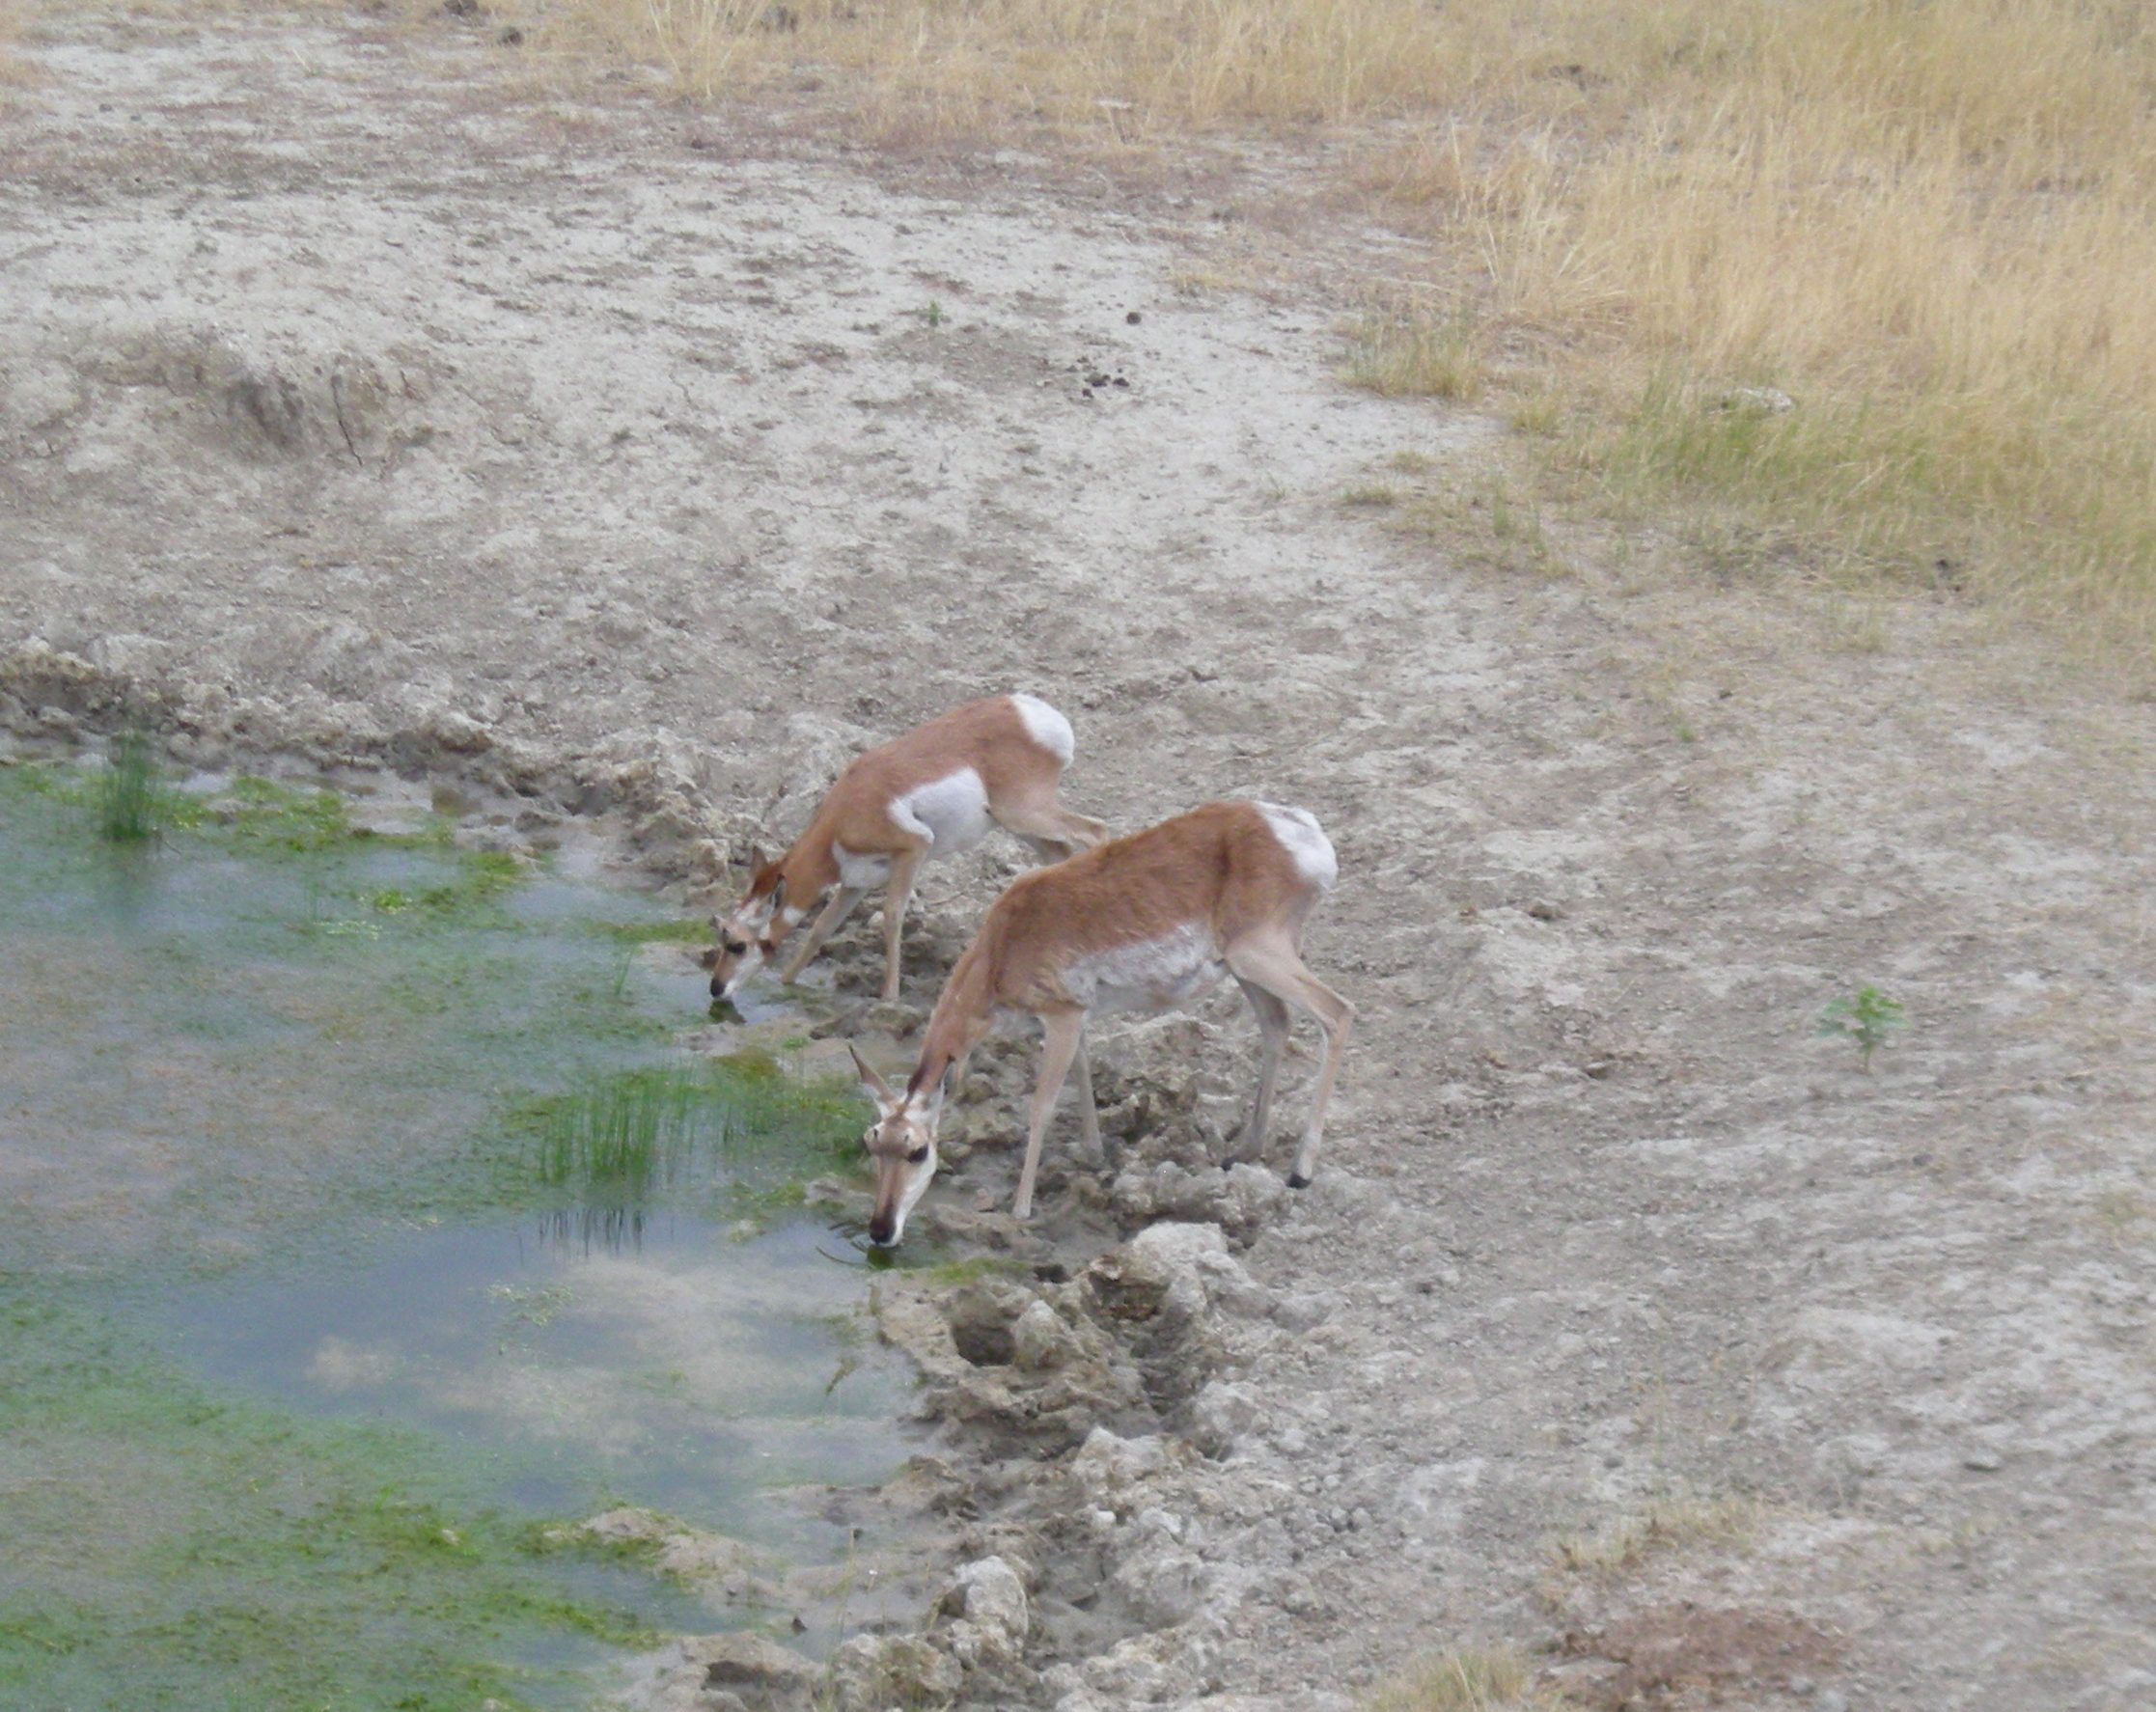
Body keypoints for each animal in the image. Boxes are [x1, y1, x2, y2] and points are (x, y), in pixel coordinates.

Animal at [711, 689, 1112, 1000]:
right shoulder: (855, 883)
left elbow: (892, 916)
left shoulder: (913, 848)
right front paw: (786, 982)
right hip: (1020, 825)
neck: (845, 811)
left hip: (1024, 814)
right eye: (723, 932)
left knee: (1096, 830)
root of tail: (1035, 714)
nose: (715, 989)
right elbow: (821, 928)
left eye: (737, 943)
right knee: (1061, 856)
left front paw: (889, 997)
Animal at [849, 793, 1353, 1250]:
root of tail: (1296, 829)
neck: (1002, 945)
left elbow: (1043, 1104)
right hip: (1243, 967)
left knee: (1338, 1012)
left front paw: (1021, 1208)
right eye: (872, 1142)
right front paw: (1093, 1154)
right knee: (1277, 1025)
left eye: (917, 1150)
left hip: (1258, 956)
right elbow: (1082, 1074)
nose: (880, 1230)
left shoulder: (1063, 1017)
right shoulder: (1076, 1020)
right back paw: (1245, 1151)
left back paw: (1300, 1171)